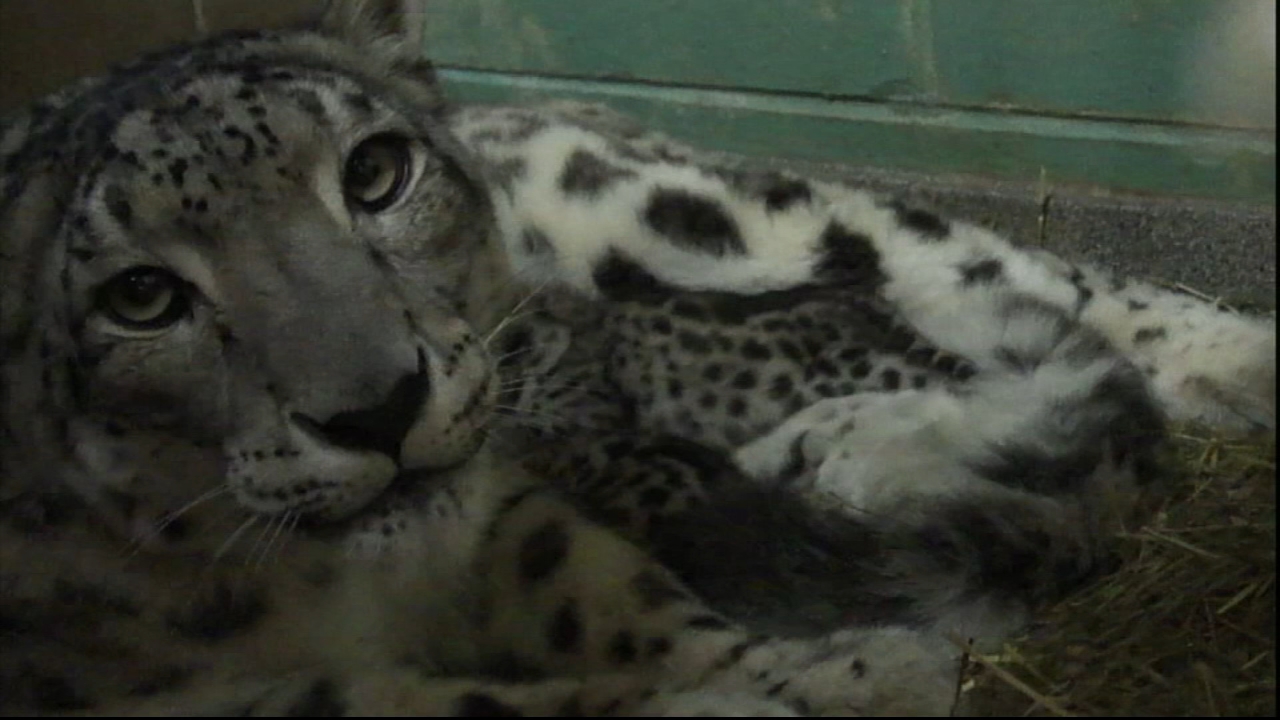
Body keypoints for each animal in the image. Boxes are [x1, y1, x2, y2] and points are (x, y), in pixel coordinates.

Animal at [1, 0, 1275, 716]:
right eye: (142, 296)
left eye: (373, 174)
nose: (377, 406)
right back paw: (830, 457)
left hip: (665, 202)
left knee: (1003, 284)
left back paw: (1232, 362)